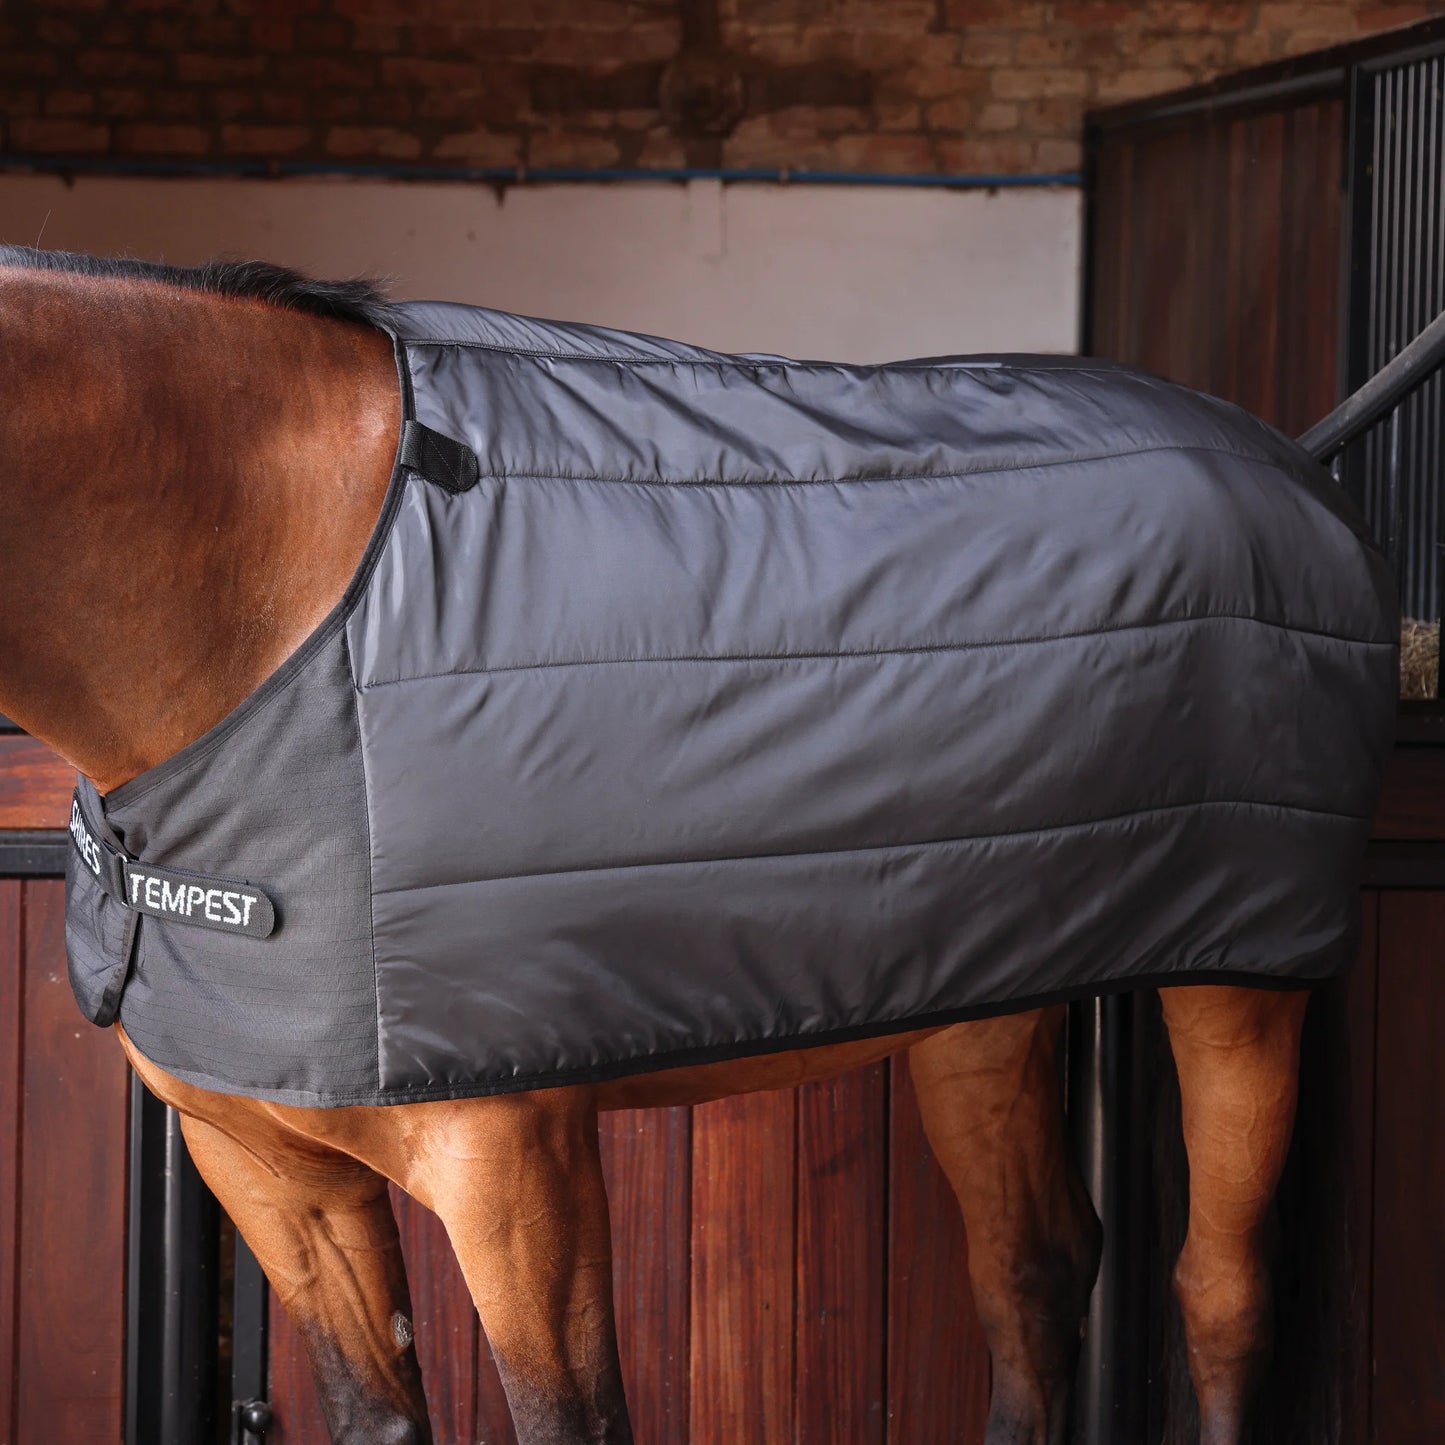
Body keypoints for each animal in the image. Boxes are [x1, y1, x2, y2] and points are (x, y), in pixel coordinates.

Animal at [0, 246, 1391, 1445]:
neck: (294, 602)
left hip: (1239, 991)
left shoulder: (515, 1169)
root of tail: (1295, 469)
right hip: (982, 1001)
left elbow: (575, 1420)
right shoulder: (269, 1170)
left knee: (1218, 1295)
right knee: (1034, 1274)